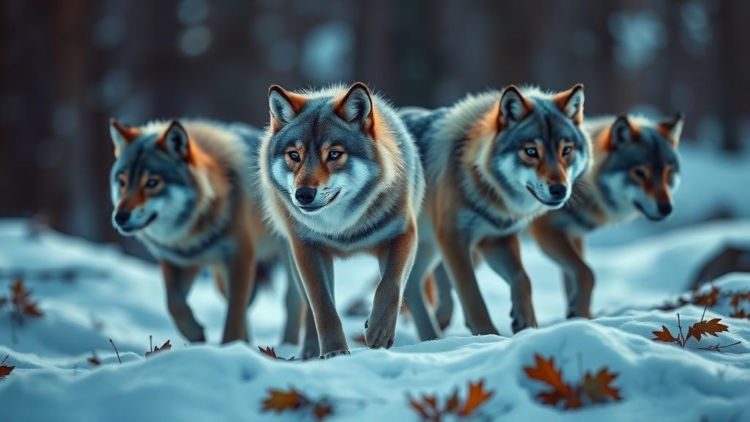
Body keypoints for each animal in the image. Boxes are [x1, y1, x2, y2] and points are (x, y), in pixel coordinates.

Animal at [108, 118, 303, 344]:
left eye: (152, 182)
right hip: (220, 278)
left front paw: (229, 345)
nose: (120, 216)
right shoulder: (179, 261)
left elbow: (234, 317)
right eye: (122, 182)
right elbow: (174, 304)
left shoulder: (240, 257)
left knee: (295, 302)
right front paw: (196, 334)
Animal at [259, 83, 425, 359]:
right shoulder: (307, 249)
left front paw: (379, 330)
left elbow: (389, 285)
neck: (344, 229)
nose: (303, 195)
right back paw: (309, 352)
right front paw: (334, 351)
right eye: (294, 155)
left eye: (334, 154)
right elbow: (323, 307)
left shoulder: (404, 234)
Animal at [400, 84, 591, 341]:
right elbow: (473, 298)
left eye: (566, 150)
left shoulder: (495, 239)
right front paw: (487, 337)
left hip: (426, 248)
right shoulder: (453, 239)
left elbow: (523, 278)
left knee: (413, 285)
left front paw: (526, 323)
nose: (560, 189)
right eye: (531, 151)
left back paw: (430, 339)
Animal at [531, 113, 684, 318]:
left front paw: (580, 318)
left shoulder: (574, 235)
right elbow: (587, 273)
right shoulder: (547, 230)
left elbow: (573, 281)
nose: (666, 208)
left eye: (668, 173)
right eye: (639, 172)